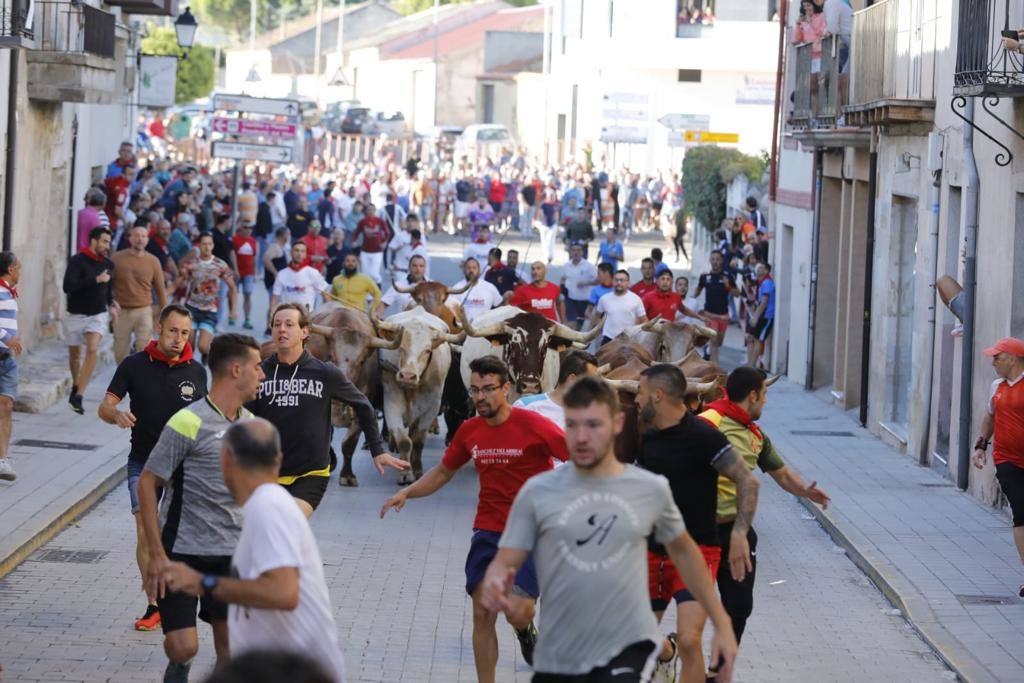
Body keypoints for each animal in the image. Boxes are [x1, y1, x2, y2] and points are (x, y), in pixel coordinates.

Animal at [376, 307, 464, 483]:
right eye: (401, 348)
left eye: (427, 351)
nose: (407, 376)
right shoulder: (392, 402)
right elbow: (404, 441)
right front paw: (405, 472)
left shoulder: (432, 406)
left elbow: (417, 440)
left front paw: (417, 470)